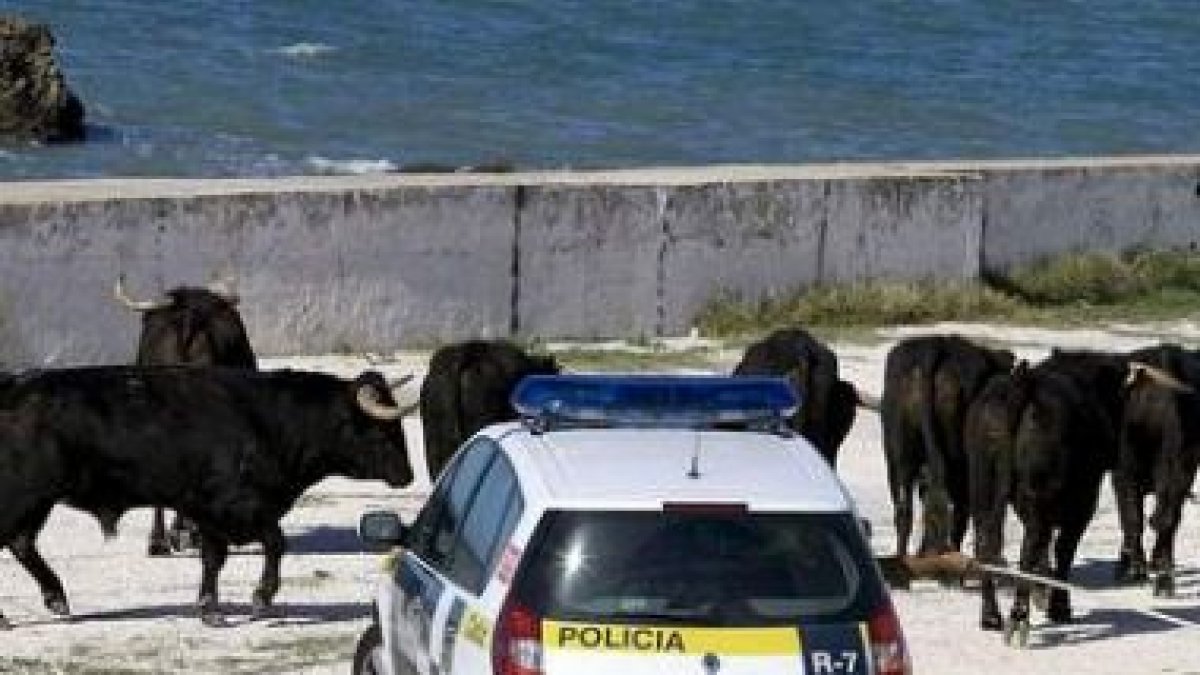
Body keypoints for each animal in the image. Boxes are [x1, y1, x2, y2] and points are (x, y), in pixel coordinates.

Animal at [0, 362, 412, 624]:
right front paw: (261, 599)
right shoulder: (237, 505)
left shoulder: (207, 510)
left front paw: (210, 608)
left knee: (21, 543)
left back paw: (56, 599)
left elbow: (214, 558)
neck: (271, 420)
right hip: (24, 497)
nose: (407, 476)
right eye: (380, 430)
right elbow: (275, 543)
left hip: (37, 501)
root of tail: (12, 387)